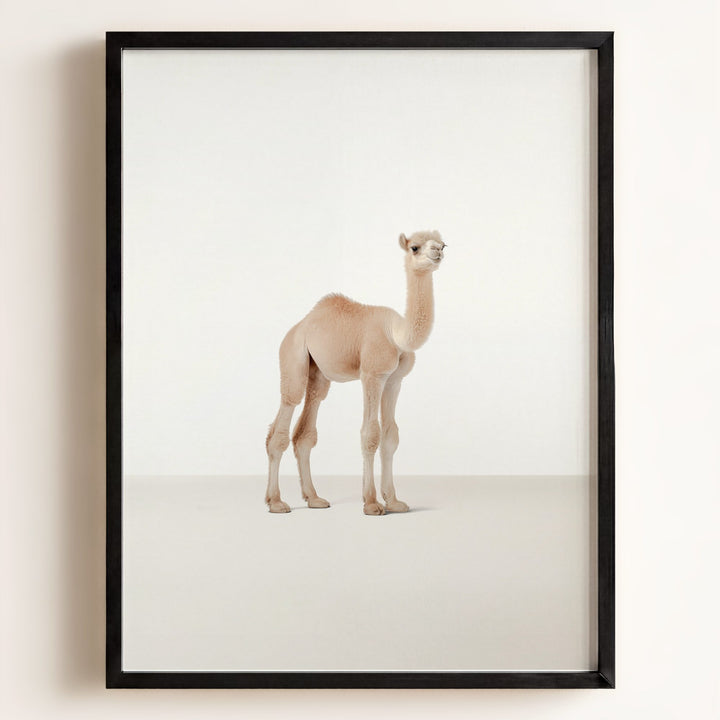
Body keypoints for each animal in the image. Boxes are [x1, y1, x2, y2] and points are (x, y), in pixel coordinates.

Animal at [265, 230, 445, 515]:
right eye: (415, 247)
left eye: (443, 244)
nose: (437, 251)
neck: (397, 334)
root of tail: (299, 326)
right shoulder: (372, 374)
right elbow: (370, 434)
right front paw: (371, 503)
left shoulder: (394, 380)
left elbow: (390, 436)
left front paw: (394, 501)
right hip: (292, 357)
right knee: (284, 418)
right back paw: (276, 502)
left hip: (318, 373)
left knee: (306, 429)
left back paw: (314, 498)